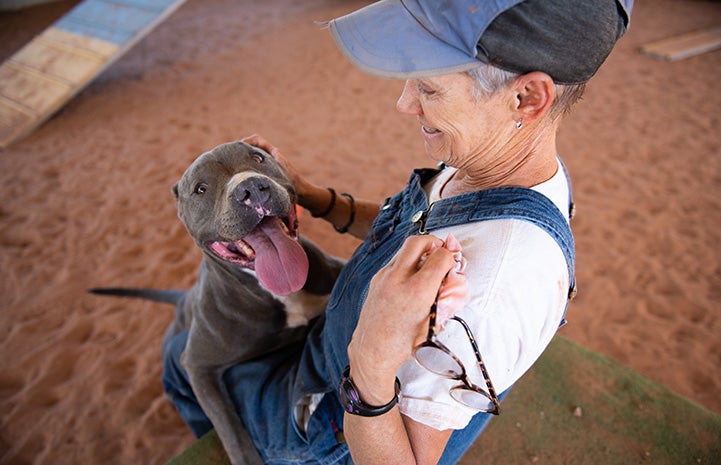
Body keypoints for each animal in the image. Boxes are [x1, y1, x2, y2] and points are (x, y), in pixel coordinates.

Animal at [91, 141, 344, 464]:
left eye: (258, 158)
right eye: (201, 188)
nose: (252, 188)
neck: (280, 293)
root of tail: (183, 298)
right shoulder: (198, 366)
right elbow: (231, 430)